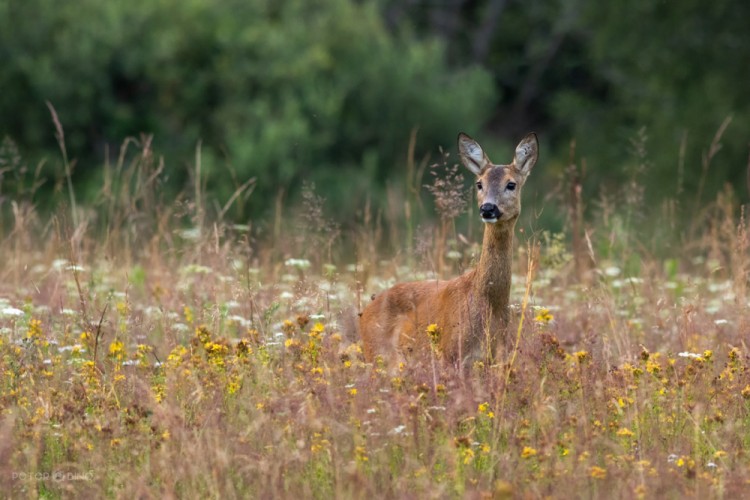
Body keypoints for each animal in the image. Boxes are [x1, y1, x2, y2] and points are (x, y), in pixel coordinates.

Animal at [360, 132, 540, 368]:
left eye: (511, 184)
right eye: (479, 184)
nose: (488, 208)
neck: (488, 304)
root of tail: (365, 310)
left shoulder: (495, 357)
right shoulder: (450, 354)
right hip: (377, 356)